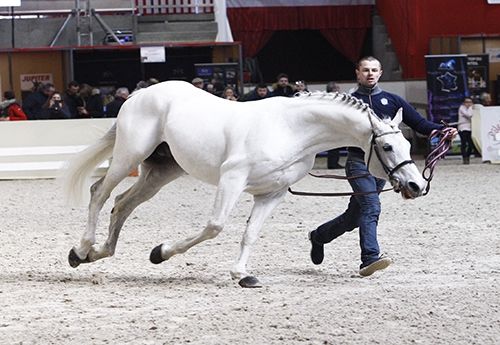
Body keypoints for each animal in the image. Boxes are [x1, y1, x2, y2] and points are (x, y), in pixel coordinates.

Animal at [61, 79, 426, 286]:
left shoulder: (271, 194)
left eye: (409, 146)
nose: (416, 186)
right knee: (99, 193)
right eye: (387, 147)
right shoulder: (232, 179)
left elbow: (250, 233)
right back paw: (80, 250)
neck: (293, 129)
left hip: (161, 172)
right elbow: (215, 226)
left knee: (122, 205)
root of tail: (138, 95)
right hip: (129, 156)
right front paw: (160, 252)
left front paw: (242, 275)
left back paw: (98, 253)